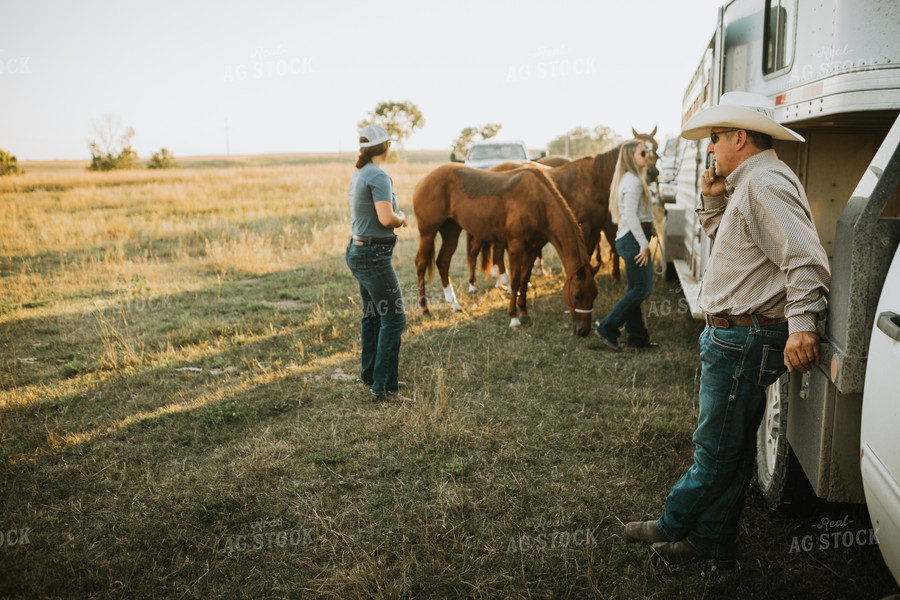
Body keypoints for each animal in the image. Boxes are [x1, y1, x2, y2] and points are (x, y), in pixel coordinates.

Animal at [414, 162, 596, 336]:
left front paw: (524, 313)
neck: (538, 202)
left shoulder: (533, 248)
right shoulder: (516, 246)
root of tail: (423, 180)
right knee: (421, 265)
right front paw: (514, 318)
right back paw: (425, 309)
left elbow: (524, 279)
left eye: (594, 295)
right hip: (428, 233)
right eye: (577, 295)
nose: (583, 331)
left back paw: (454, 305)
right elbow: (515, 280)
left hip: (451, 231)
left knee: (443, 263)